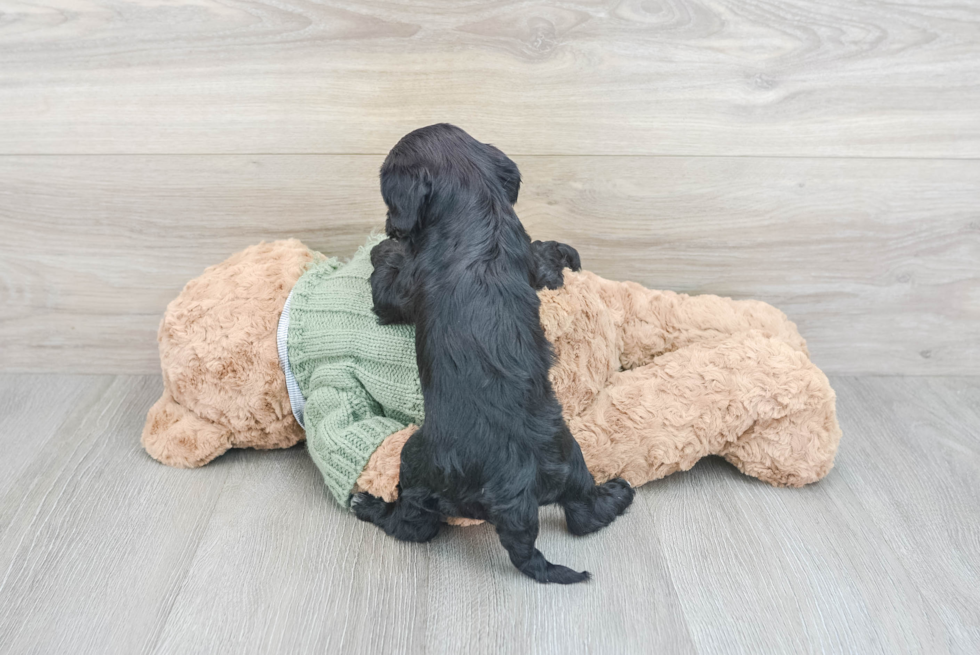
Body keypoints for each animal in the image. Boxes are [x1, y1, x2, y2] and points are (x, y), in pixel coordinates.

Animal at [352, 124, 636, 584]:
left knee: (414, 525)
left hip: (418, 462)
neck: (474, 208)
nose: (390, 228)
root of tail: (515, 495)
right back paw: (618, 492)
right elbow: (543, 262)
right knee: (585, 514)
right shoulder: (527, 258)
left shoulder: (403, 288)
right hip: (571, 464)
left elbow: (385, 284)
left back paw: (369, 506)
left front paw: (383, 250)